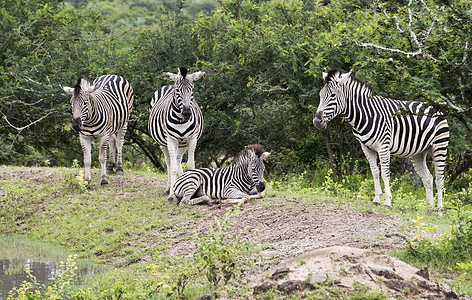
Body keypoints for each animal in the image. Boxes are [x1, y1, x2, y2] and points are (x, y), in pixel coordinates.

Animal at [149, 66, 205, 197]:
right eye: (178, 90)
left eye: (192, 90)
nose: (187, 113)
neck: (180, 120)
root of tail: (169, 85)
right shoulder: (171, 139)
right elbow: (173, 167)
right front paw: (171, 194)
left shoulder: (192, 139)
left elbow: (190, 165)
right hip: (163, 143)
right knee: (169, 161)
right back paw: (169, 188)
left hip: (183, 143)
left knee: (178, 159)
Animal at [314, 69, 450, 214]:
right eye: (320, 95)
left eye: (333, 95)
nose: (317, 121)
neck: (365, 115)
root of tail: (435, 108)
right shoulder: (366, 148)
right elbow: (375, 172)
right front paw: (376, 200)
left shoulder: (383, 146)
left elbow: (385, 174)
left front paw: (388, 202)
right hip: (418, 153)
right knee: (428, 178)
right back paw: (428, 208)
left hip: (439, 147)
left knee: (439, 179)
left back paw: (439, 210)